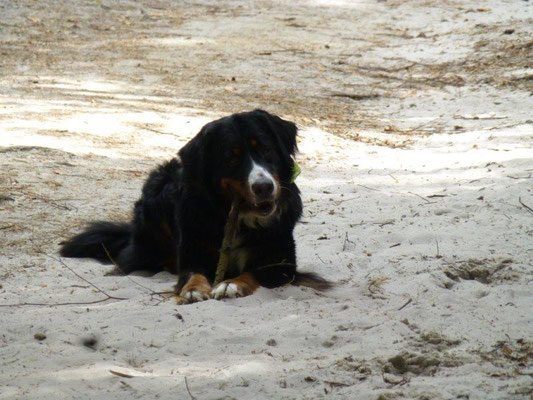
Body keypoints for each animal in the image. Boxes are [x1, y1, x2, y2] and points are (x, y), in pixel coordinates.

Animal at [59, 109, 328, 304]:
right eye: (231, 159)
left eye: (266, 149)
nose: (263, 187)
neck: (237, 219)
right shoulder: (192, 250)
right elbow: (191, 272)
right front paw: (193, 289)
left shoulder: (283, 263)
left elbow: (255, 271)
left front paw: (231, 284)